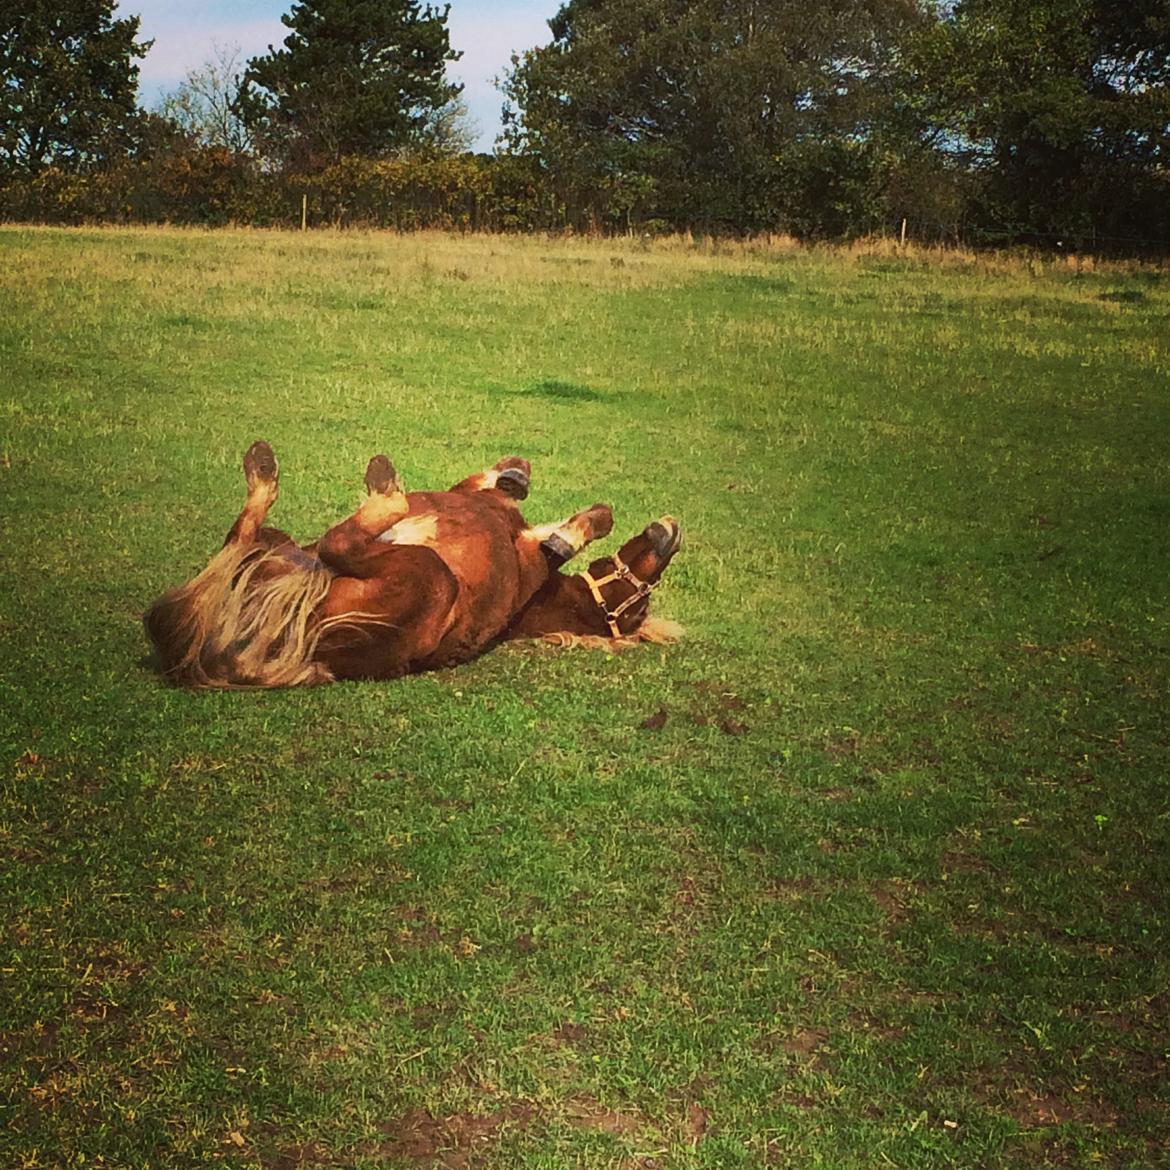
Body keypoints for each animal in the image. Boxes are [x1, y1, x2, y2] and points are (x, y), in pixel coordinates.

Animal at [141, 442, 683, 687]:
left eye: (640, 609)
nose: (670, 531)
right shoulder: (482, 499)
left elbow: (572, 530)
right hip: (281, 548)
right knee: (253, 534)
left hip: (427, 574)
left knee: (332, 540)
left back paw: (379, 491)